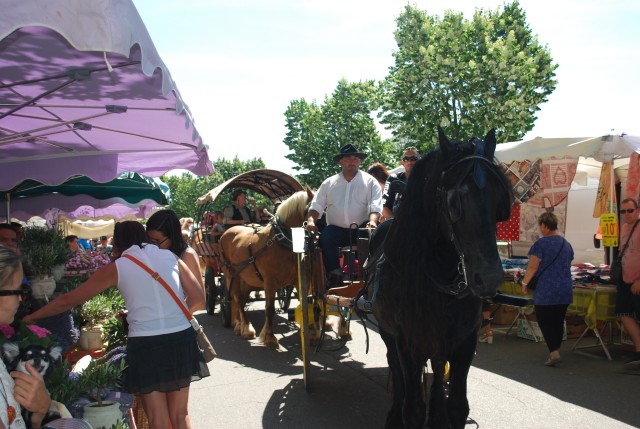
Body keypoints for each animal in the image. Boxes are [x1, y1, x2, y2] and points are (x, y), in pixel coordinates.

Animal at [219, 189, 314, 346]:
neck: (281, 241)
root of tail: (226, 233)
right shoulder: (270, 281)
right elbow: (269, 308)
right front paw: (269, 337)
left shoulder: (298, 280)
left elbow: (305, 304)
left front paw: (309, 333)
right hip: (230, 274)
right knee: (236, 298)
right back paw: (247, 328)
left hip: (246, 279)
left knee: (240, 300)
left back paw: (239, 325)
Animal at [372, 127, 512, 428]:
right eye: (454, 201)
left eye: (500, 199)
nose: (490, 278)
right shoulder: (407, 341)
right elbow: (412, 409)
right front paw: (407, 411)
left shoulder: (464, 341)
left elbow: (458, 406)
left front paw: (442, 412)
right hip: (389, 332)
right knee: (394, 365)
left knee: (437, 366)